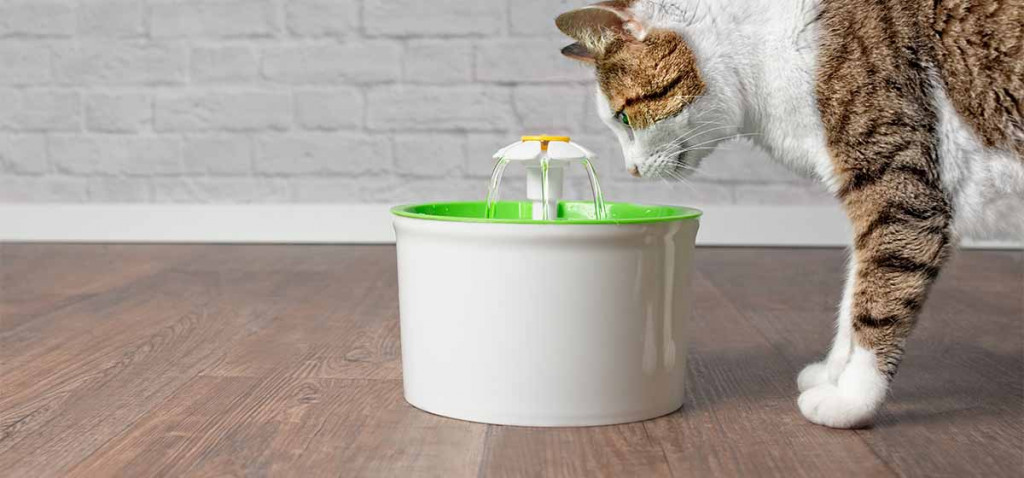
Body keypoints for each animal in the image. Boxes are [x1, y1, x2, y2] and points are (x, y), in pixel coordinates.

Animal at [556, 0, 1024, 429]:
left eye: (623, 117)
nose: (631, 170)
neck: (764, 48)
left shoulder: (899, 194)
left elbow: (878, 297)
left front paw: (853, 398)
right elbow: (853, 294)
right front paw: (833, 373)